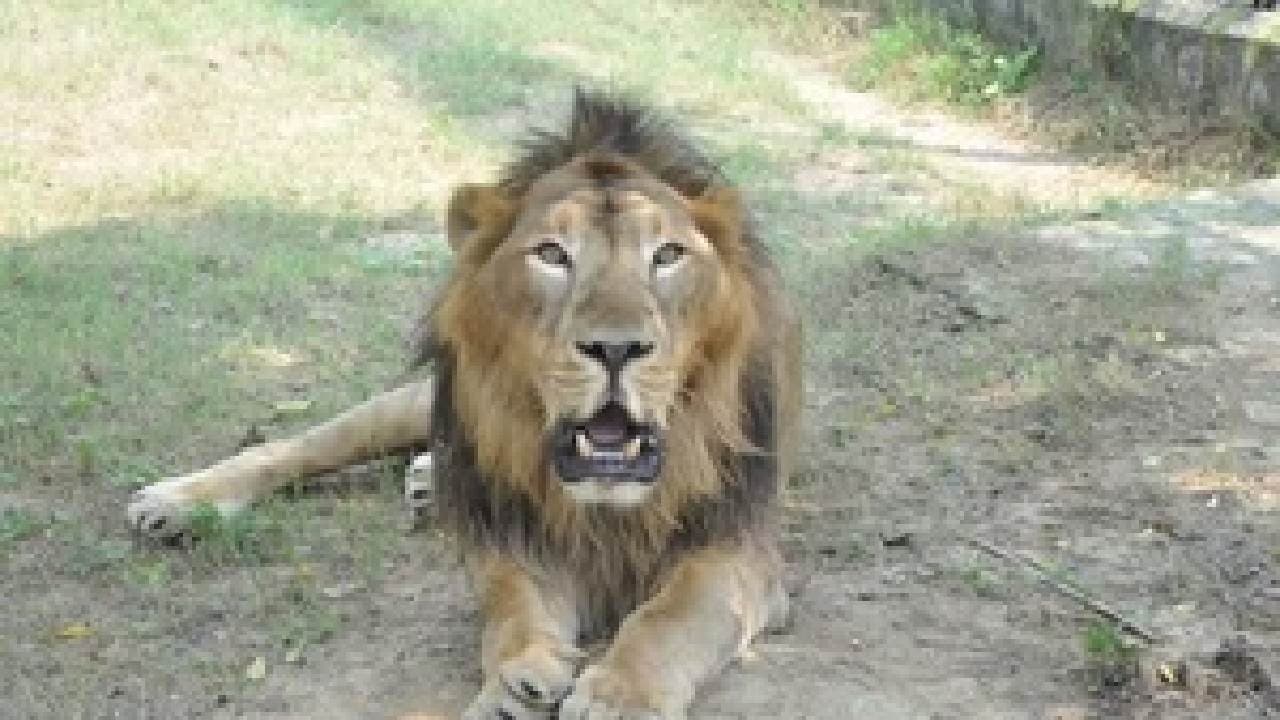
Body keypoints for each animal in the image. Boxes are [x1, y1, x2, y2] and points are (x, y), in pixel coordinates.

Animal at [127, 88, 802, 720]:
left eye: (667, 256)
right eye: (552, 253)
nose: (616, 348)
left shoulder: (739, 546)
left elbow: (677, 611)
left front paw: (621, 696)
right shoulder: (514, 537)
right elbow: (511, 606)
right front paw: (515, 681)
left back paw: (428, 481)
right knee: (301, 445)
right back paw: (176, 501)